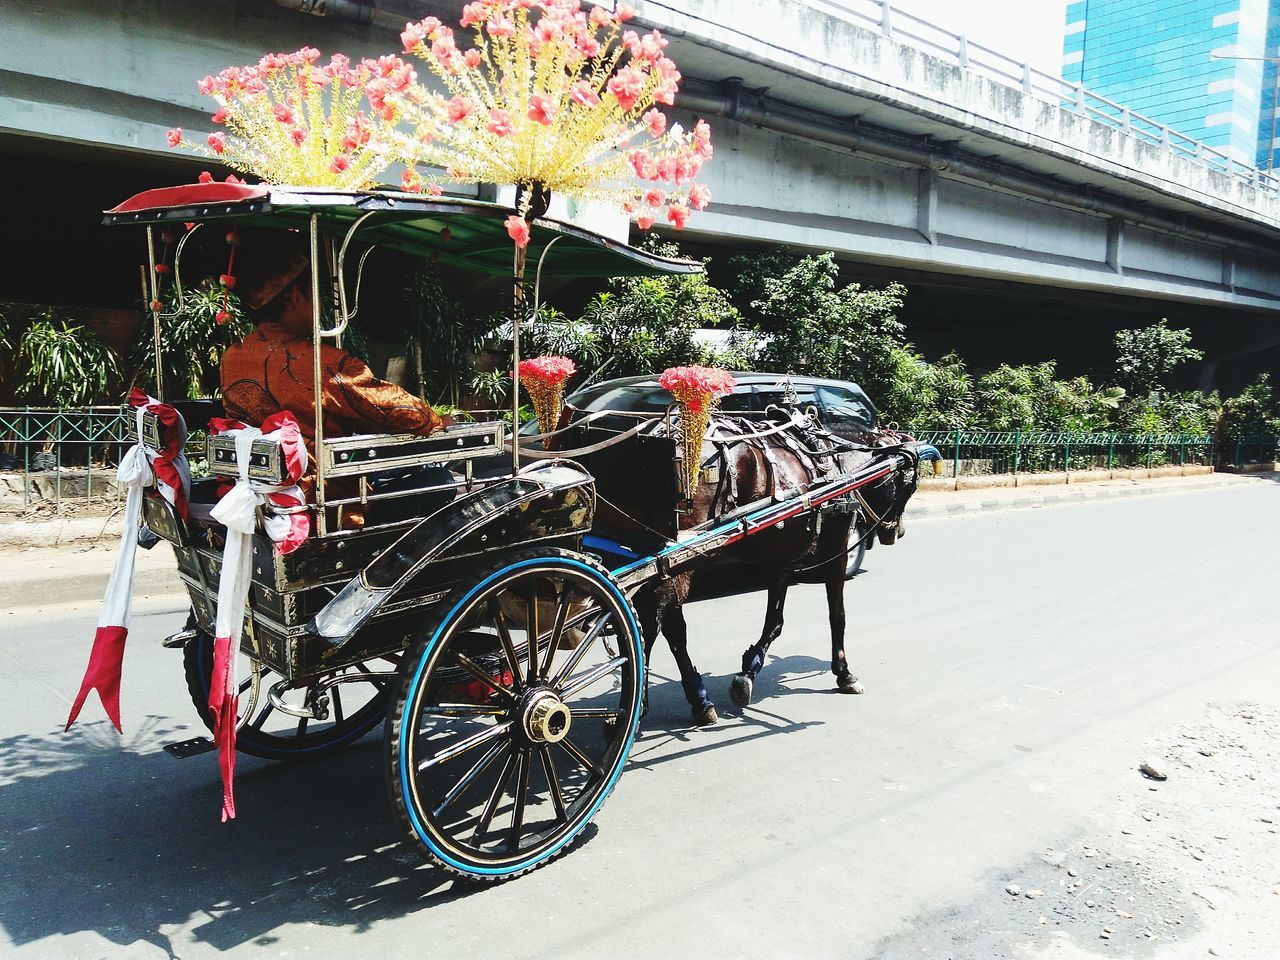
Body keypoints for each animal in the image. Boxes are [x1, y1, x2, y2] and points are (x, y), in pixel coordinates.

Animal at [629, 409, 921, 727]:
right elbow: (837, 615)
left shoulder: (784, 561)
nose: (898, 532)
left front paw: (748, 671)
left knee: (656, 619)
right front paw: (844, 674)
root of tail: (658, 434)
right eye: (907, 484)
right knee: (662, 622)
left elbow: (775, 622)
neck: (839, 465)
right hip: (687, 559)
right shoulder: (836, 551)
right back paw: (683, 699)